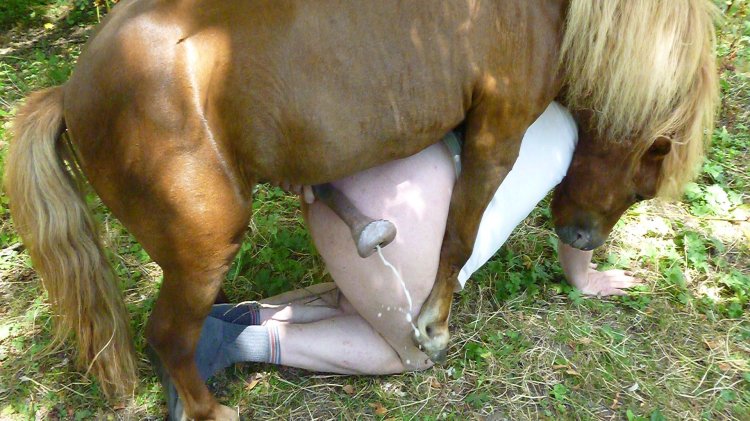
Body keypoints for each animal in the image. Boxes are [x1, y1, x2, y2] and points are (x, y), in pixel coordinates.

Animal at [3, 0, 717, 419]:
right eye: (645, 183)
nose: (582, 240)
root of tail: (71, 90)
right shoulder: (497, 135)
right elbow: (459, 237)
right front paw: (433, 322)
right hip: (208, 244)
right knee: (168, 336)